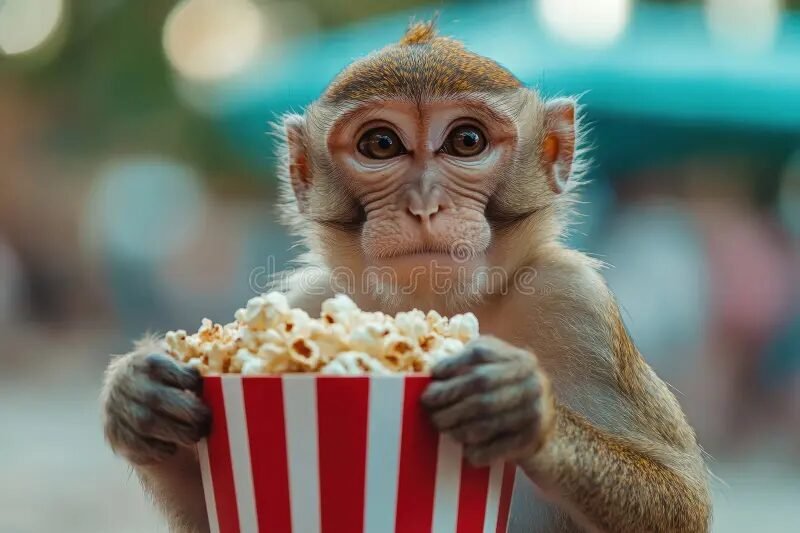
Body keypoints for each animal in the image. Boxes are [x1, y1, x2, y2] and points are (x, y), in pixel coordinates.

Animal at [102, 21, 711, 532]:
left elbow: (685, 502)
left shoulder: (575, 304)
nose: (423, 205)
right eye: (381, 144)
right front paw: (138, 397)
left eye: (466, 140)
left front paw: (520, 407)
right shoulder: (310, 298)